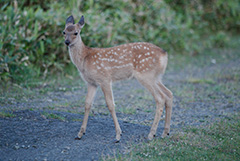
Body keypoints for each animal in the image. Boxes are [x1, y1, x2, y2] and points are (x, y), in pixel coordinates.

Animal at [62, 14, 173, 142]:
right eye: (64, 32)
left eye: (76, 32)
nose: (67, 42)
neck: (85, 58)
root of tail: (164, 54)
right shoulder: (91, 82)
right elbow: (87, 104)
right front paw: (80, 133)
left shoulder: (104, 78)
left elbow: (110, 105)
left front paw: (118, 135)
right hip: (156, 77)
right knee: (169, 94)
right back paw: (165, 132)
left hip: (146, 75)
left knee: (160, 98)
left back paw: (151, 134)